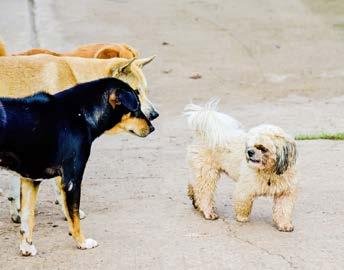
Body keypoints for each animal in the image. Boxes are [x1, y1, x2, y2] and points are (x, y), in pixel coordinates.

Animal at [0, 77, 155, 255]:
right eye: (136, 107)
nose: (152, 128)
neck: (80, 113)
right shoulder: (72, 180)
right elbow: (74, 218)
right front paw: (82, 242)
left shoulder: (30, 179)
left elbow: (27, 219)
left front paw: (27, 247)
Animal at [184, 99, 296, 232]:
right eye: (249, 145)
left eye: (262, 148)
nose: (249, 152)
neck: (269, 171)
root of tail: (204, 133)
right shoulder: (245, 188)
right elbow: (244, 203)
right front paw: (242, 217)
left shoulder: (285, 193)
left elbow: (283, 210)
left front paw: (284, 224)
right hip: (207, 173)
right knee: (204, 193)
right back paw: (208, 212)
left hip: (201, 171)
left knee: (195, 184)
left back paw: (194, 198)